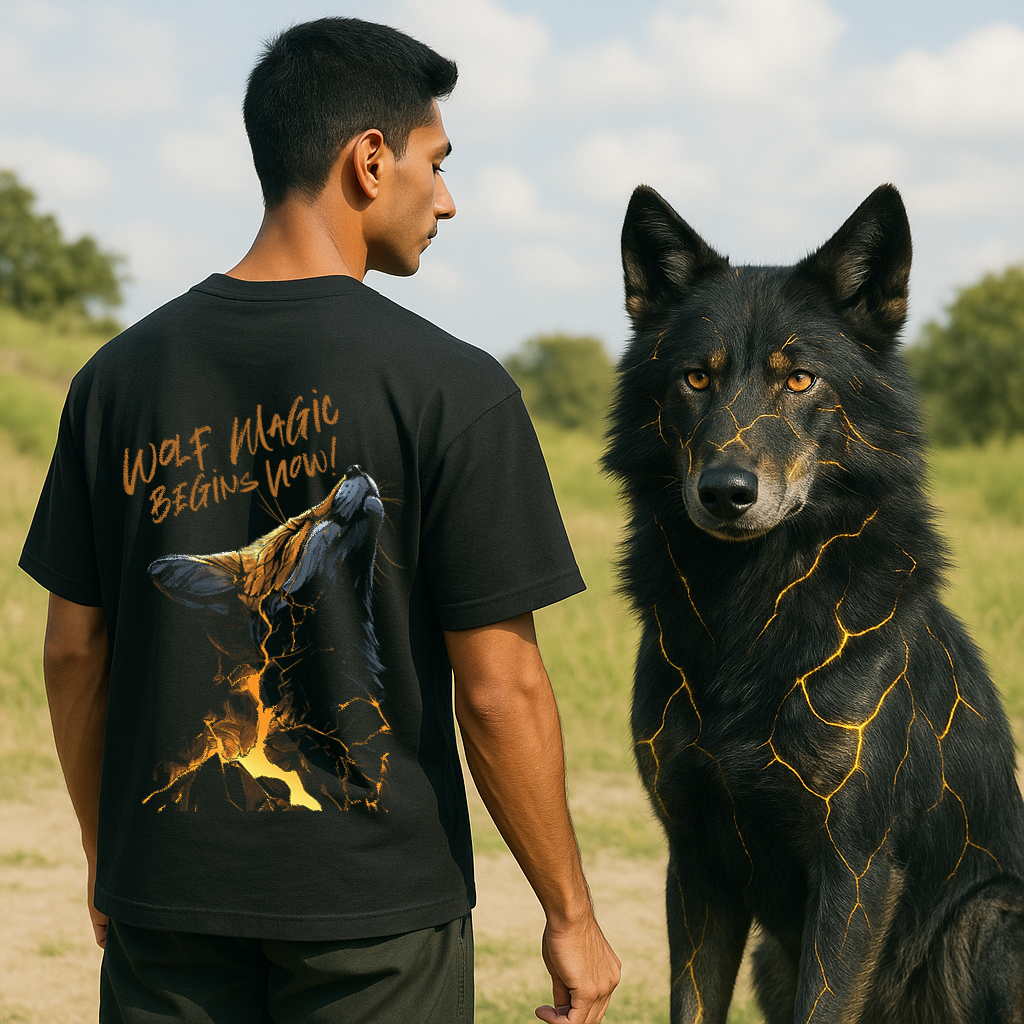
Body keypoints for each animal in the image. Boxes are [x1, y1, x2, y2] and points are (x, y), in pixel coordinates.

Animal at [604, 184, 1024, 1023]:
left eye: (798, 380)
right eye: (696, 379)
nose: (726, 493)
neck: (751, 607)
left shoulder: (853, 868)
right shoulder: (694, 863)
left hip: (991, 919)